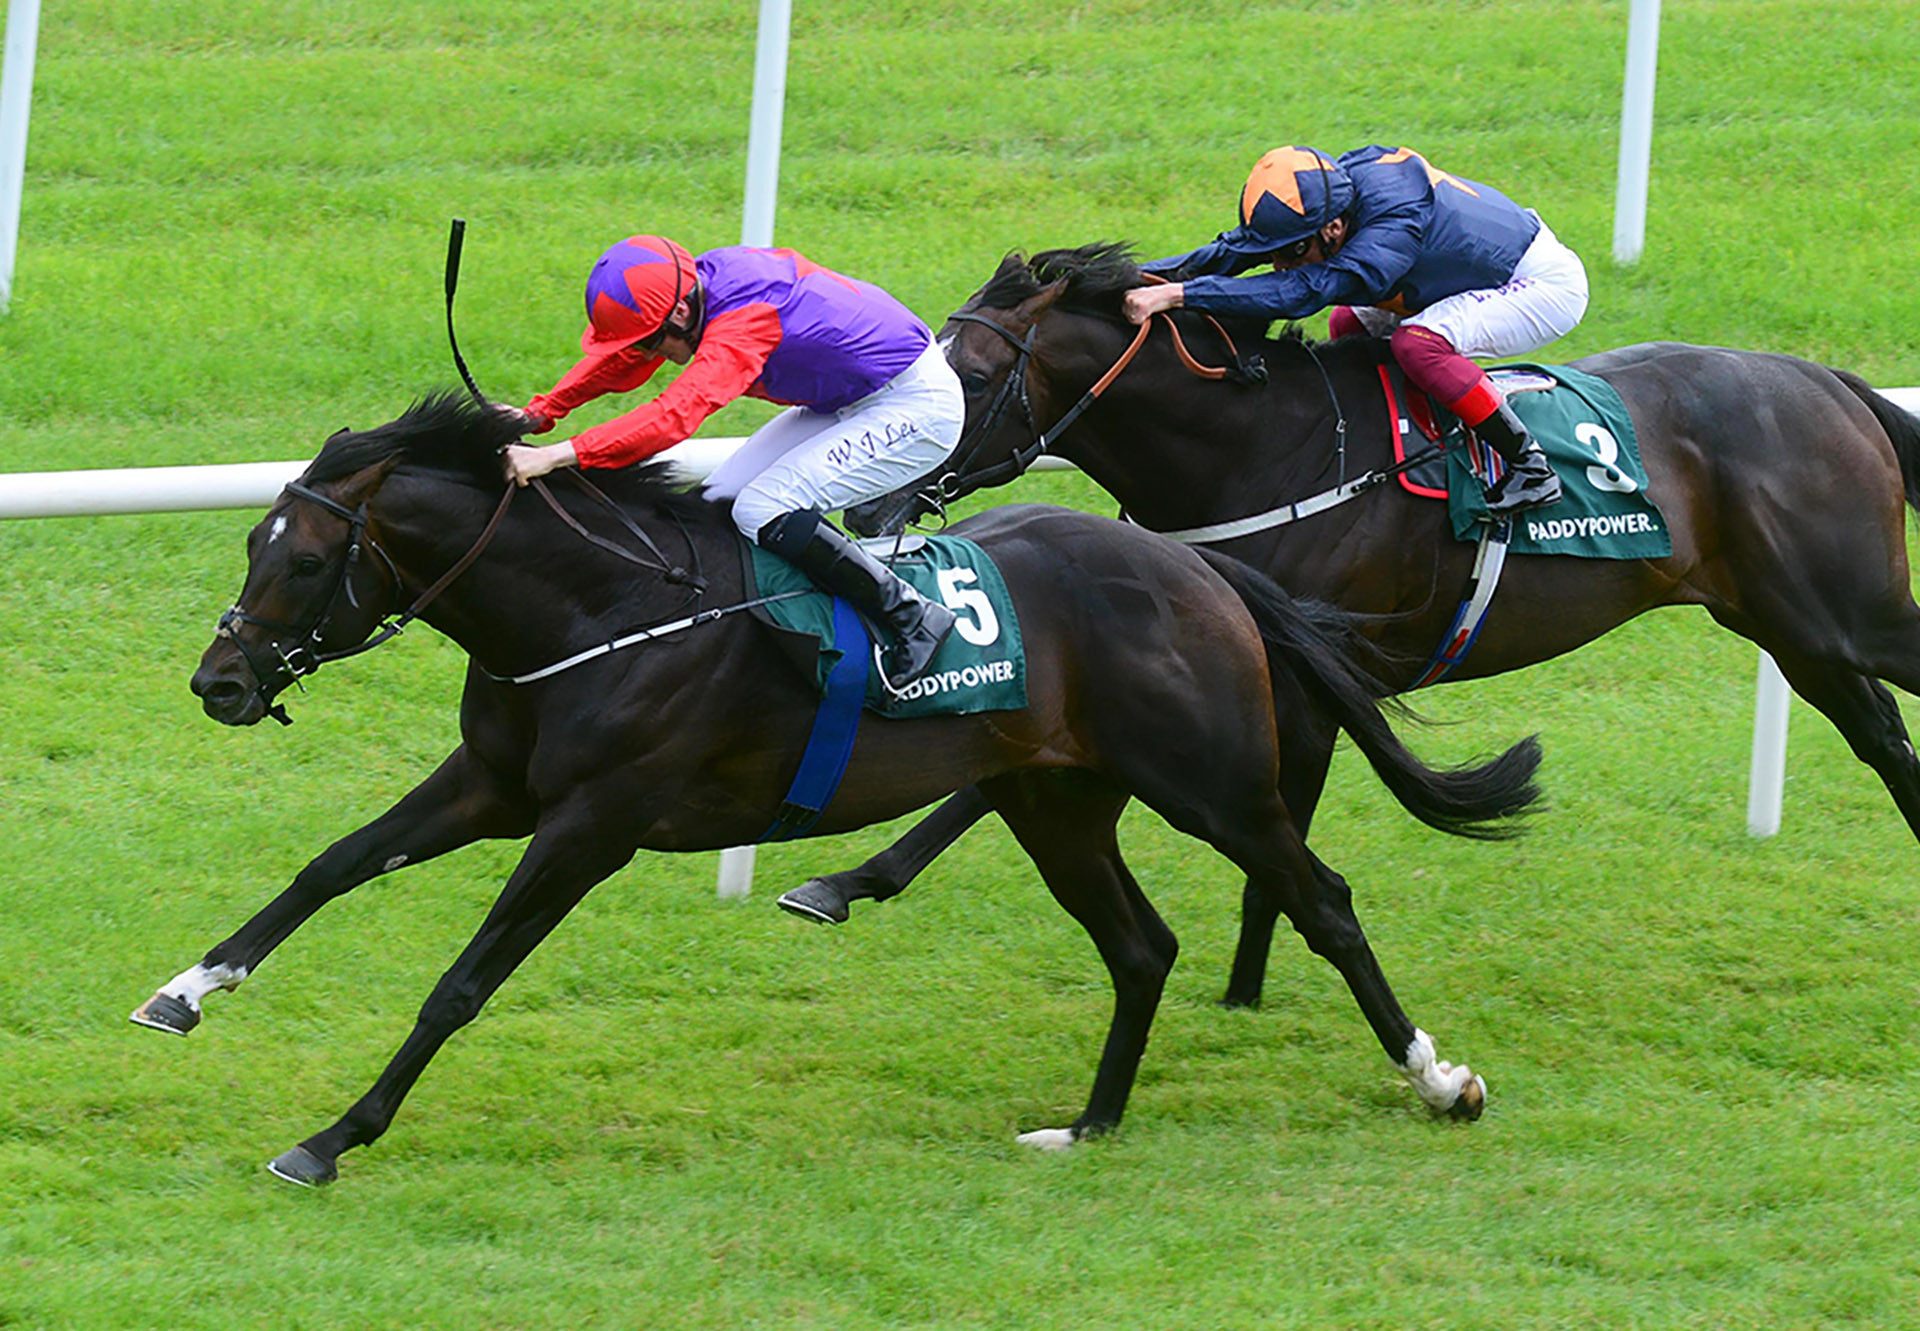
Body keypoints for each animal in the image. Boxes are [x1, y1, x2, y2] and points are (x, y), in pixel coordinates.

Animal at [131, 393, 1543, 1183]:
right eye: (252, 537)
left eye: (301, 557)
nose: (218, 681)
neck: (596, 608)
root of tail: (1197, 565)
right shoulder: (493, 782)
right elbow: (329, 864)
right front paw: (184, 990)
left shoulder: (591, 823)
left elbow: (461, 981)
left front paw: (329, 1139)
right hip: (1055, 797)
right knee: (1143, 944)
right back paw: (1085, 1127)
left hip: (1212, 782)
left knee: (1323, 897)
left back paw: (1439, 1081)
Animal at [791, 243, 1920, 998]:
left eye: (974, 380)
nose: (870, 511)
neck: (1262, 448)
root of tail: (1827, 379)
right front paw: (843, 879)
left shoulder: (1285, 678)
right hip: (1792, 626)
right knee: (1881, 735)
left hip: (1845, 610)